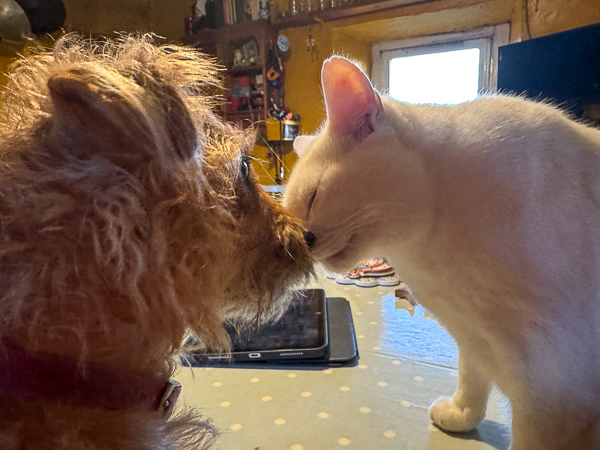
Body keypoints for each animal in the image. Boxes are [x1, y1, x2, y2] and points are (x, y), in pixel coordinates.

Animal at [283, 55, 600, 450]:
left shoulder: (552, 390)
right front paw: (461, 416)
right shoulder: (475, 339)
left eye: (313, 198)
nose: (304, 244)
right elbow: (471, 377)